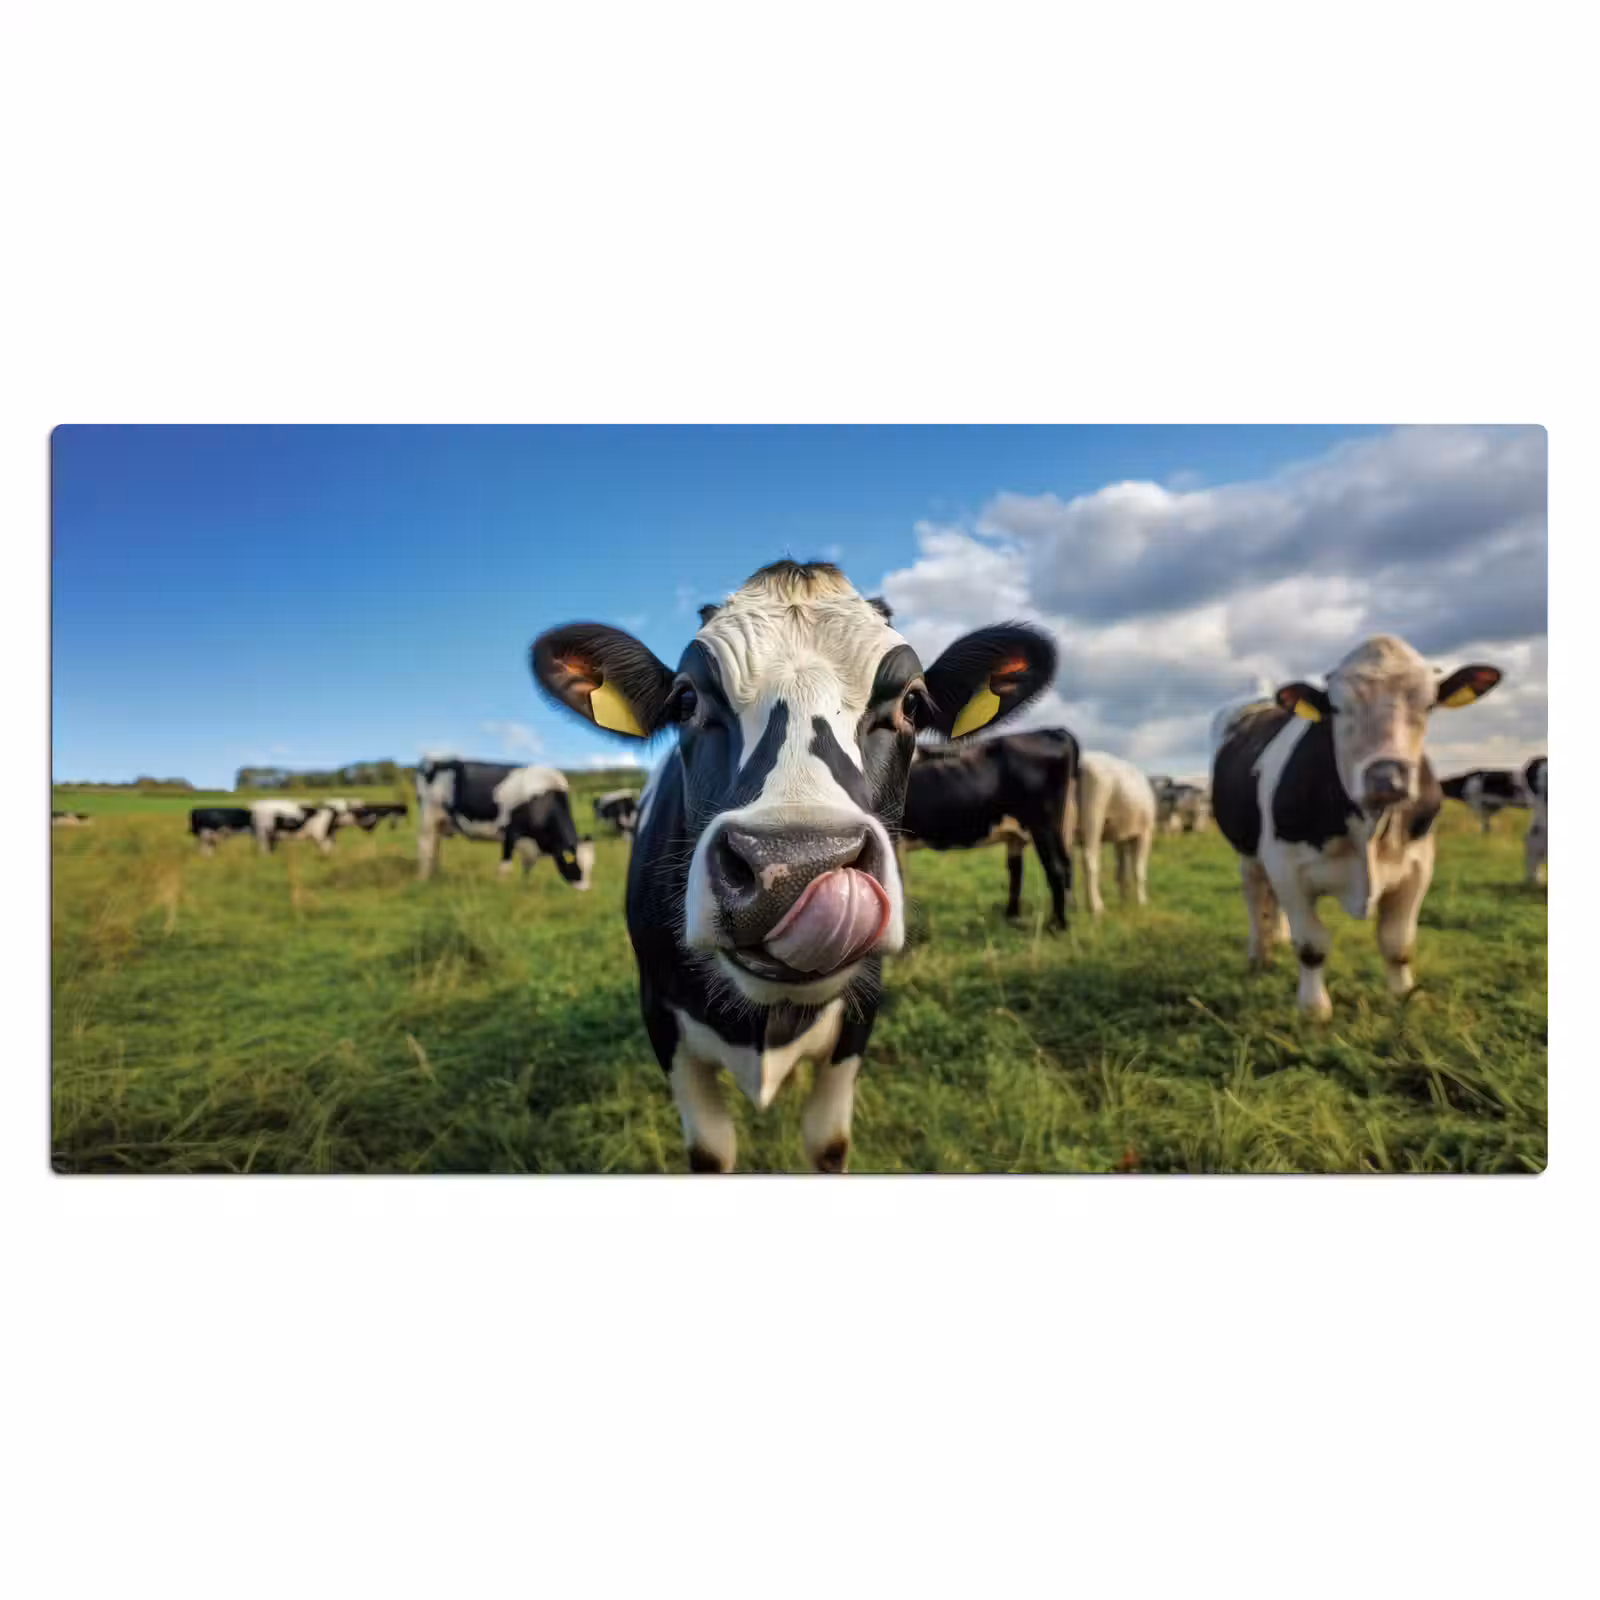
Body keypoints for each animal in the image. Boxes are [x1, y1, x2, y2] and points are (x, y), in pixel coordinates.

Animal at [414, 759, 594, 888]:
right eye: (576, 866)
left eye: (591, 866)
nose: (584, 891)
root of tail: (432, 761)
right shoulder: (510, 833)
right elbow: (505, 867)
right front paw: (502, 890)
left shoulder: (531, 843)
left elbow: (527, 868)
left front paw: (523, 887)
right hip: (427, 819)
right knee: (425, 848)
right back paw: (423, 879)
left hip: (441, 823)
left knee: (435, 849)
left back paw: (435, 876)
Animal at [530, 558, 1056, 1173]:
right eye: (686, 700)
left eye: (911, 703)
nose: (794, 868)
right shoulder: (661, 1016)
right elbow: (710, 1150)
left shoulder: (860, 1015)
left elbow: (827, 1142)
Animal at [896, 729, 1078, 929]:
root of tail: (1053, 731)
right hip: (1053, 828)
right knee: (1054, 865)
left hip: (1042, 824)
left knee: (1055, 868)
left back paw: (1056, 925)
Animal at [1074, 752, 1157, 914]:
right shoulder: (1145, 833)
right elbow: (1139, 870)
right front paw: (1142, 902)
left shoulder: (1120, 837)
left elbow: (1121, 871)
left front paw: (1124, 900)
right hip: (1094, 813)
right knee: (1089, 858)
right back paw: (1096, 907)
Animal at [1210, 635, 1502, 1019]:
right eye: (1336, 707)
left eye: (1428, 704)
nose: (1386, 777)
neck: (1370, 828)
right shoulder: (1287, 867)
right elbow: (1312, 945)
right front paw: (1314, 1009)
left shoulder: (1418, 866)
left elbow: (1398, 942)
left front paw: (1404, 996)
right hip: (1249, 850)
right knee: (1255, 895)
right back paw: (1260, 951)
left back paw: (1278, 936)